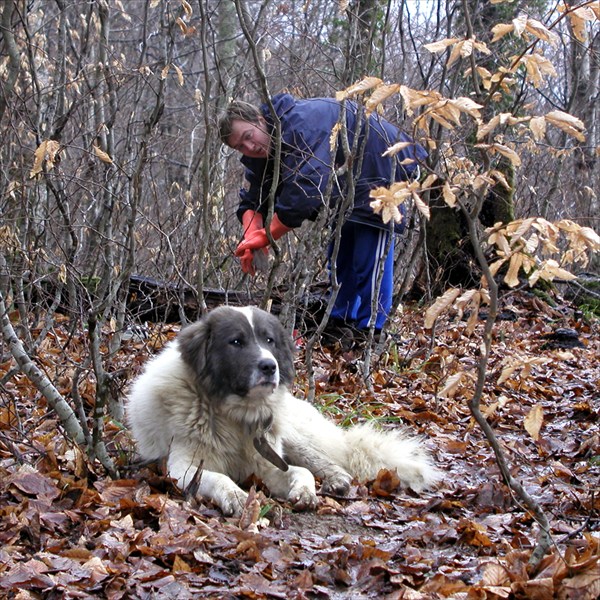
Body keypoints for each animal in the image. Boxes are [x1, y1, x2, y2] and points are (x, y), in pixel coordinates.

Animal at [126, 304, 440, 516]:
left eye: (269, 341)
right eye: (236, 341)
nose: (269, 366)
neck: (234, 417)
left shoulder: (267, 464)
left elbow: (302, 472)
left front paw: (305, 492)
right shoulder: (183, 466)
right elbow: (218, 477)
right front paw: (236, 496)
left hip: (293, 436)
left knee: (324, 462)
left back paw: (337, 480)